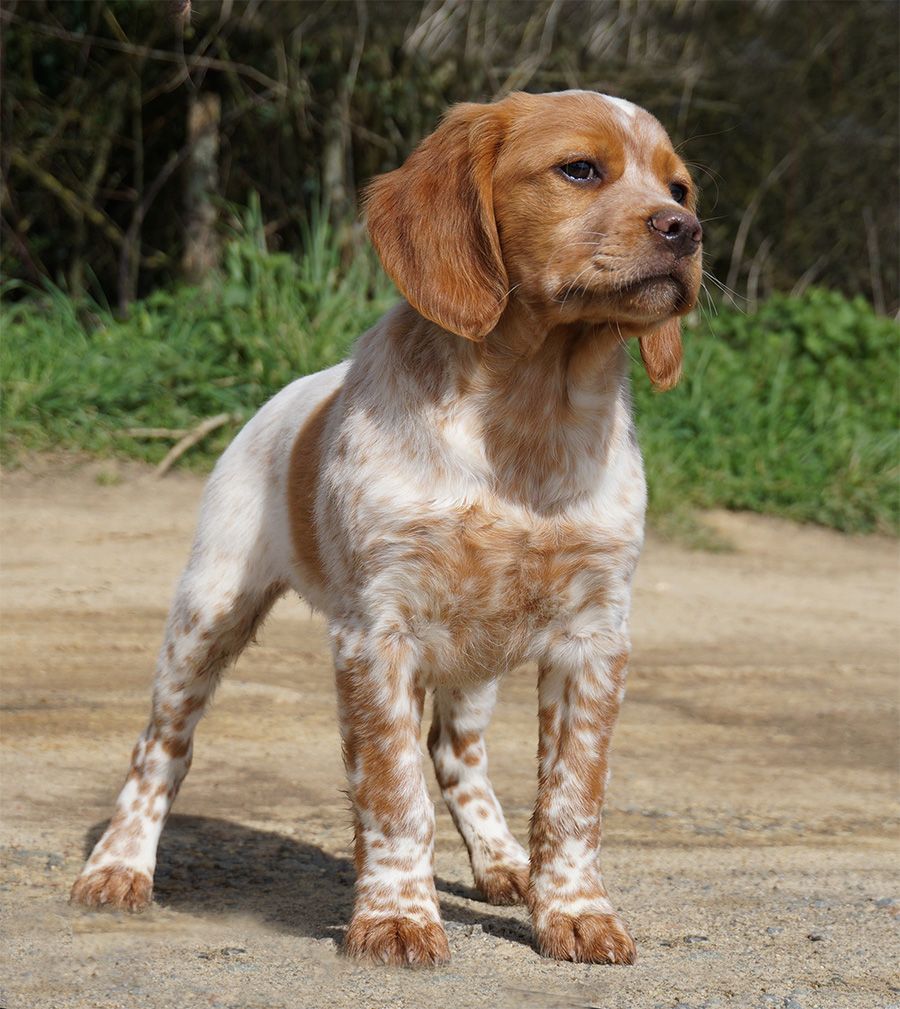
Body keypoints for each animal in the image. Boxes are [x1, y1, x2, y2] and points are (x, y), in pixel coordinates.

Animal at [70, 90, 702, 964]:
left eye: (680, 188)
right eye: (579, 169)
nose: (686, 232)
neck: (528, 412)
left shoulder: (595, 634)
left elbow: (573, 794)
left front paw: (574, 910)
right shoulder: (378, 631)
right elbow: (394, 791)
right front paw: (399, 916)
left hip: (475, 655)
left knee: (455, 753)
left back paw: (502, 861)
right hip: (208, 612)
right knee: (160, 747)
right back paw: (119, 865)